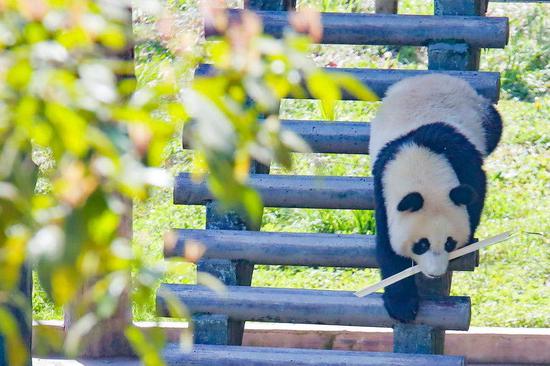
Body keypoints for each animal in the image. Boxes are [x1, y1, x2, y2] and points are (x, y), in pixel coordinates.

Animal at [370, 73, 504, 320]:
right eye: (421, 244)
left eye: (450, 242)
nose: (435, 273)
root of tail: (431, 76)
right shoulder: (383, 190)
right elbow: (387, 247)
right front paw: (402, 305)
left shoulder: (462, 159)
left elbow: (474, 195)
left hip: (480, 113)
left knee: (494, 126)